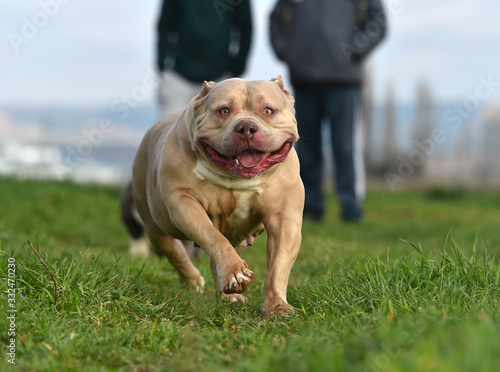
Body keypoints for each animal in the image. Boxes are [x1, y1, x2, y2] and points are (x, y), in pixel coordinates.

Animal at [120, 77, 304, 316]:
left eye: (268, 110)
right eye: (224, 110)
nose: (246, 127)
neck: (236, 179)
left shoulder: (284, 220)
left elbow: (277, 267)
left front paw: (277, 307)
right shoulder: (185, 204)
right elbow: (214, 238)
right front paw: (235, 271)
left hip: (239, 236)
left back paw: (230, 295)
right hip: (155, 225)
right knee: (174, 251)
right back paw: (192, 281)